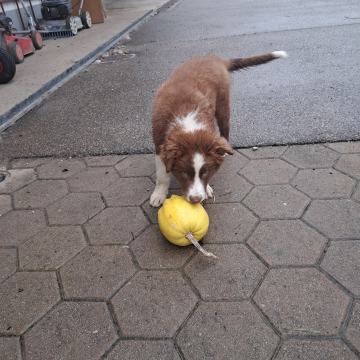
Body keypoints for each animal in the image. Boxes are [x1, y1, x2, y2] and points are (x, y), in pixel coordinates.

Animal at [149, 51, 286, 208]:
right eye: (184, 173)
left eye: (205, 173)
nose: (196, 199)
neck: (187, 121)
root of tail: (215, 59)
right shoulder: (160, 143)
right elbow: (162, 174)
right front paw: (158, 194)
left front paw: (207, 188)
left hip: (223, 105)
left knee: (225, 129)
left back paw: (223, 149)